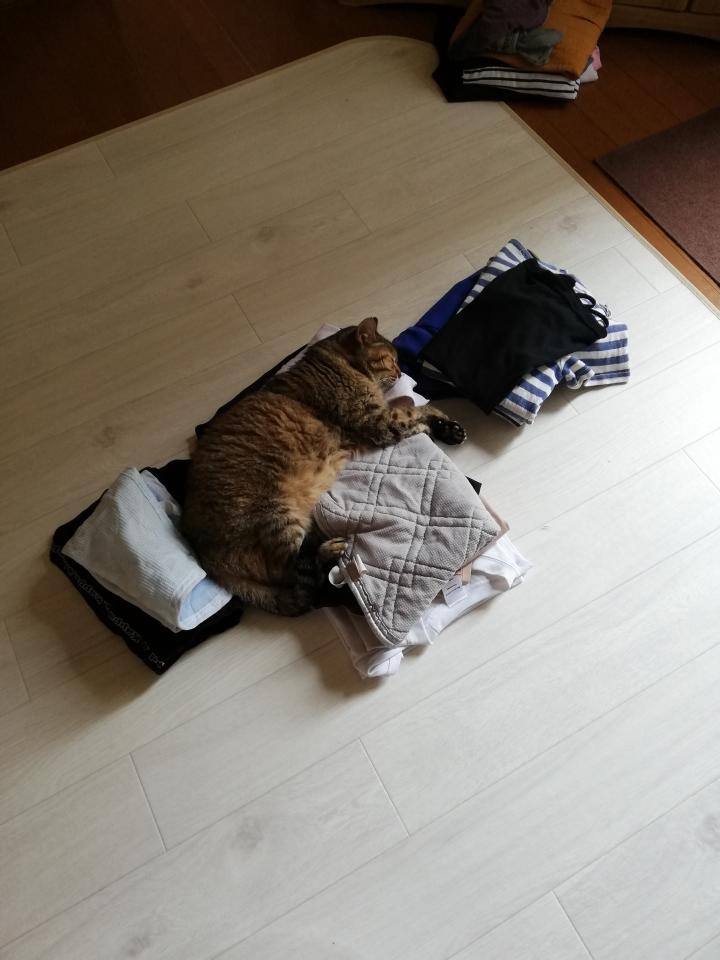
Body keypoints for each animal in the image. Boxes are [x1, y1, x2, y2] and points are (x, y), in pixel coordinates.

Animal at [181, 317, 466, 616]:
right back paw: (333, 550)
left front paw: (446, 428)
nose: (401, 373)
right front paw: (437, 420)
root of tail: (206, 558)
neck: (339, 362)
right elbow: (415, 410)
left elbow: (411, 408)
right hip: (275, 516)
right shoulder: (377, 421)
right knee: (301, 575)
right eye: (391, 359)